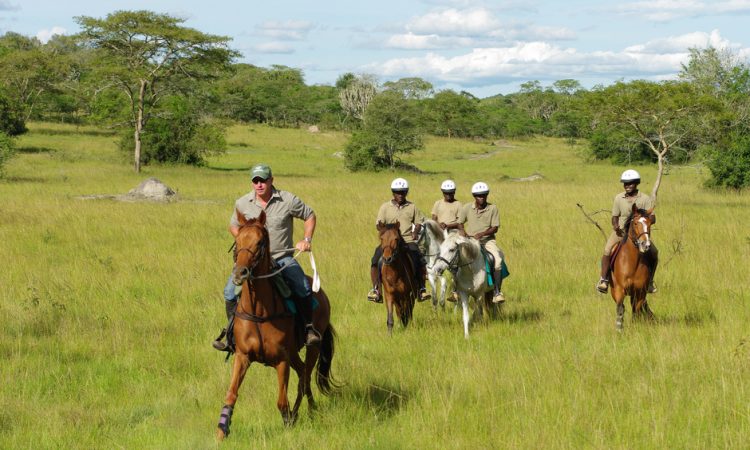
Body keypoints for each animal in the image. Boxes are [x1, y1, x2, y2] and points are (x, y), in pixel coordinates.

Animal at [216, 211, 336, 440]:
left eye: (259, 242)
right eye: (237, 241)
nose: (240, 273)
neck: (259, 311)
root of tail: (322, 294)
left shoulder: (281, 360)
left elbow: (281, 401)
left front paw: (288, 423)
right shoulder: (242, 356)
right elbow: (231, 394)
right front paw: (221, 431)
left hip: (313, 348)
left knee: (305, 378)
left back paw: (308, 411)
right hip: (294, 353)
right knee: (302, 374)